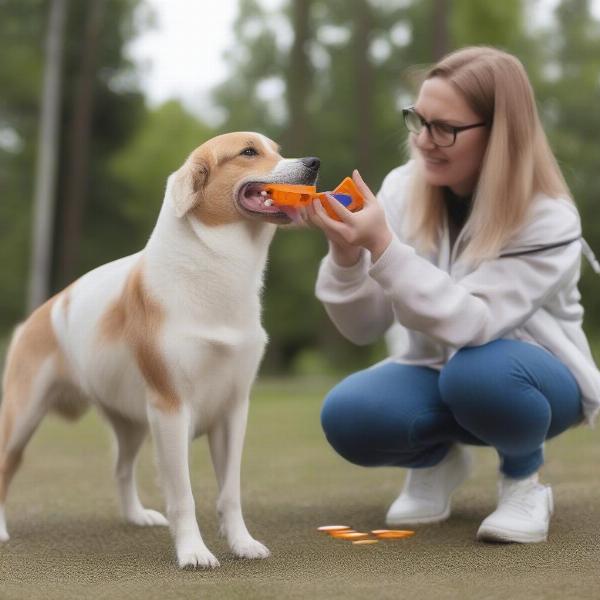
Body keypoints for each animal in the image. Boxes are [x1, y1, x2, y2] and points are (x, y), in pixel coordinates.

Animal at [0, 131, 322, 568]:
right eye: (249, 152)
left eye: (277, 150)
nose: (313, 163)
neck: (218, 266)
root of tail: (39, 315)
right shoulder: (171, 409)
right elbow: (183, 495)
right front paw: (193, 553)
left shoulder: (233, 410)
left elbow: (230, 492)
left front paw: (242, 544)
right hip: (22, 417)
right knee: (6, 467)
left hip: (132, 425)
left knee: (120, 468)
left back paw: (137, 516)